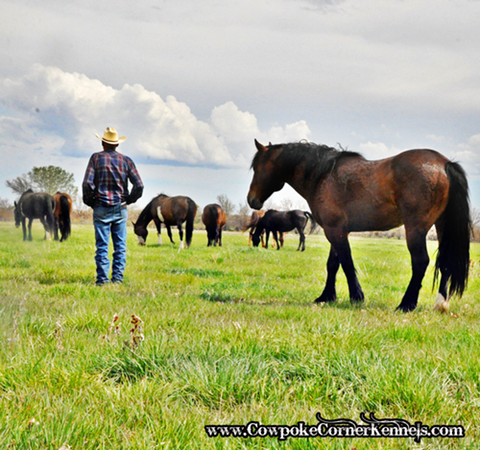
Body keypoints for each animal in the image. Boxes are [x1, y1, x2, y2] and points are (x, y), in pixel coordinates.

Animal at [248, 139, 472, 312]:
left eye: (257, 167)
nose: (252, 200)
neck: (323, 176)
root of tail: (445, 164)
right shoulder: (335, 231)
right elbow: (333, 264)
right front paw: (326, 297)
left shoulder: (335, 231)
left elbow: (346, 263)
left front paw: (356, 297)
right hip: (442, 226)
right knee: (445, 261)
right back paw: (441, 304)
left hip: (415, 229)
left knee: (420, 262)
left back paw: (406, 304)